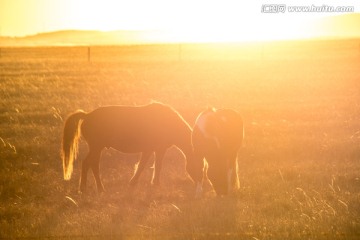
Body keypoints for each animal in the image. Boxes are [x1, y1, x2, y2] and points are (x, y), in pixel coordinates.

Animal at [60, 102, 194, 194]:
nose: (198, 183)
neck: (168, 123)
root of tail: (87, 115)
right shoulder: (156, 149)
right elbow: (151, 166)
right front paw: (152, 184)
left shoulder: (152, 150)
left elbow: (146, 166)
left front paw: (137, 183)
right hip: (96, 147)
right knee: (90, 164)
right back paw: (95, 189)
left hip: (96, 148)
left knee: (89, 164)